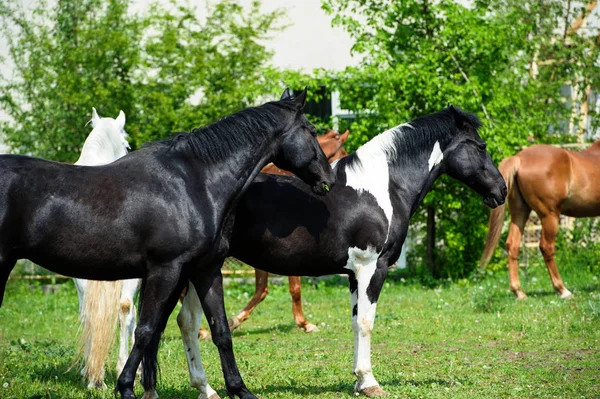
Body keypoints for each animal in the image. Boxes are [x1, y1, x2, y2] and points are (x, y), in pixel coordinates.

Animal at [0, 90, 336, 399]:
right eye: (311, 131)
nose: (328, 180)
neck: (192, 183)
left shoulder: (204, 270)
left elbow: (220, 330)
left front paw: (239, 390)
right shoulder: (166, 270)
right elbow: (146, 330)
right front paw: (127, 388)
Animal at [173, 107, 506, 399]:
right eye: (481, 146)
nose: (501, 190)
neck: (383, 189)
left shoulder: (353, 274)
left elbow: (356, 321)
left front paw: (359, 381)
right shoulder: (373, 268)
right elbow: (366, 323)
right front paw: (370, 382)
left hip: (202, 270)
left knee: (186, 321)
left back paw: (206, 389)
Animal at [480, 141, 600, 300]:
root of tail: (519, 158)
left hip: (520, 213)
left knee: (513, 245)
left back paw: (518, 292)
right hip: (549, 216)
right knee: (546, 247)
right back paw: (562, 290)